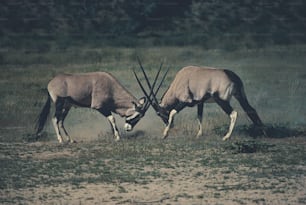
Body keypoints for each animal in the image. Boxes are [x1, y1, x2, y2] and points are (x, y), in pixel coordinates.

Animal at [135, 61, 266, 140]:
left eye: (159, 113)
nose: (170, 125)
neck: (180, 80)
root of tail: (231, 76)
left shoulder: (185, 102)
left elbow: (172, 112)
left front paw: (164, 134)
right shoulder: (200, 103)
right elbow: (199, 116)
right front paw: (199, 134)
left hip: (222, 101)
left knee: (233, 113)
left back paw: (226, 137)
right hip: (240, 96)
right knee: (251, 110)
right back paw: (262, 132)